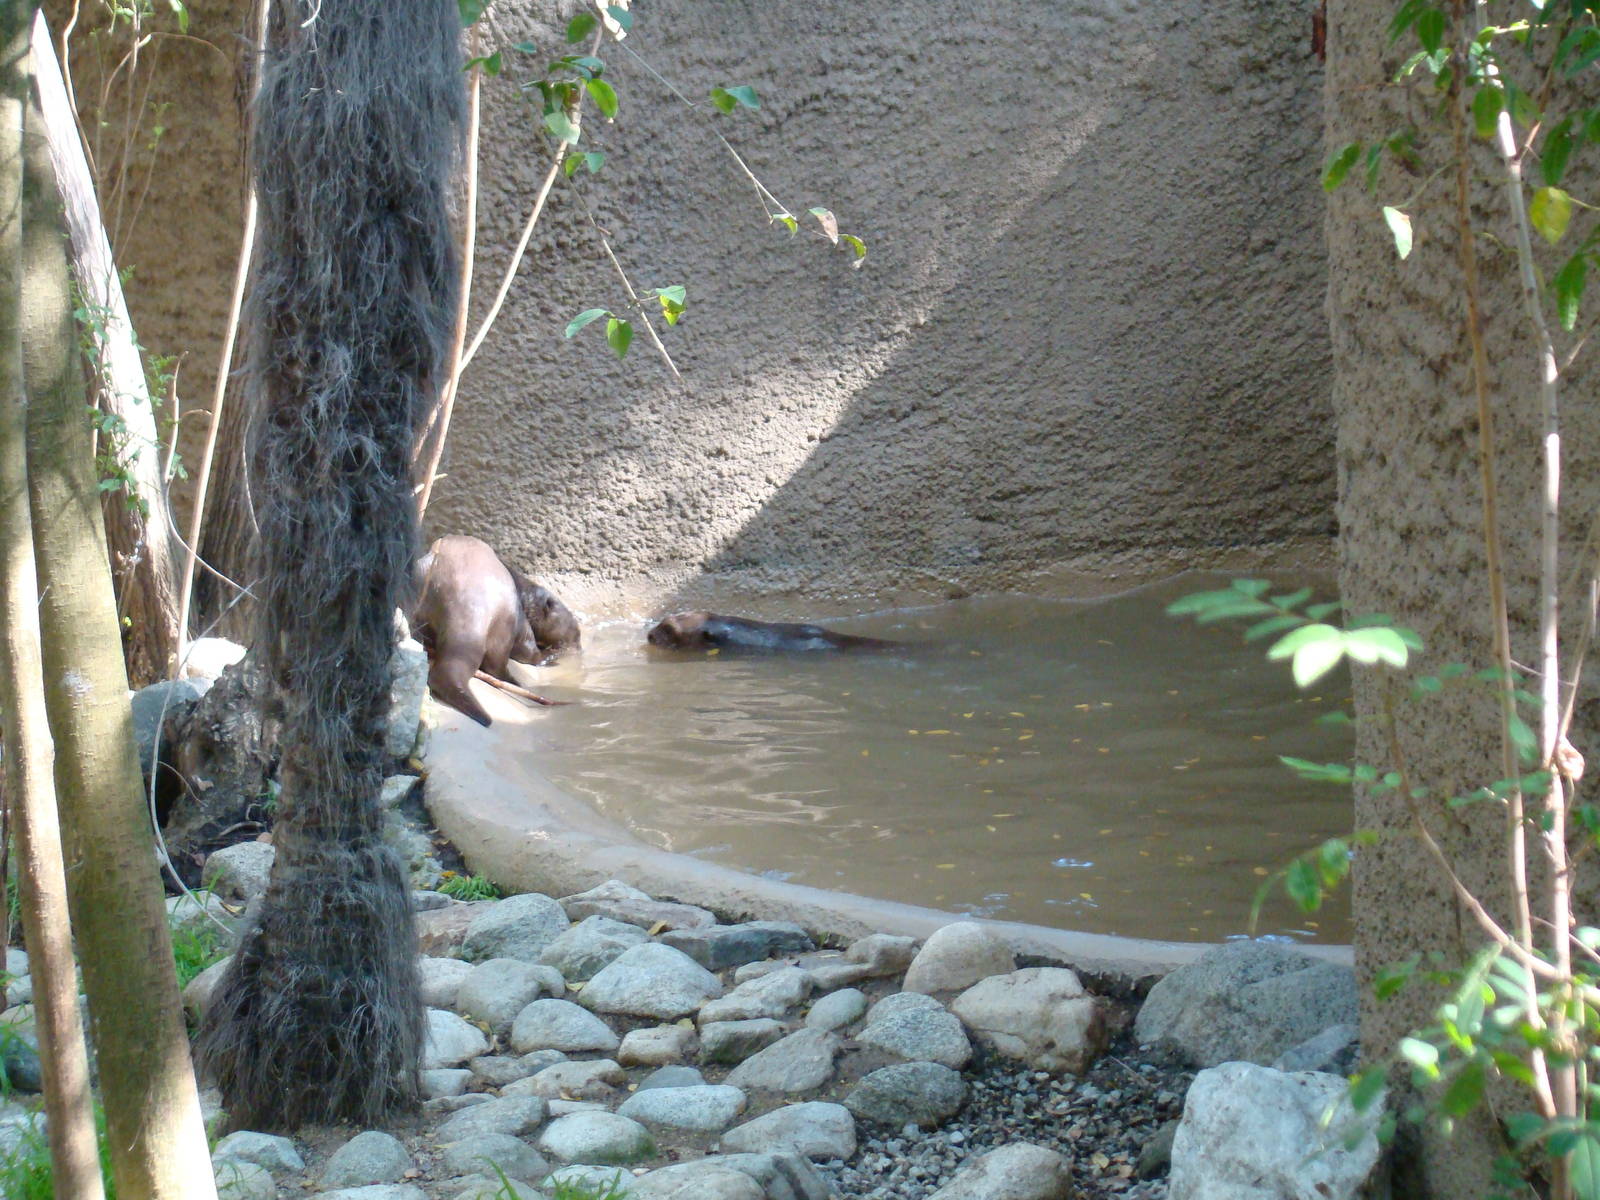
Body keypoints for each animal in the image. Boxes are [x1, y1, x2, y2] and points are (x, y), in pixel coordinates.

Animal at [412, 535, 579, 725]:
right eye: (576, 634)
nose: (578, 648)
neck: (524, 593)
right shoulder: (521, 615)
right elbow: (526, 649)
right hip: (506, 618)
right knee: (498, 665)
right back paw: (530, 672)